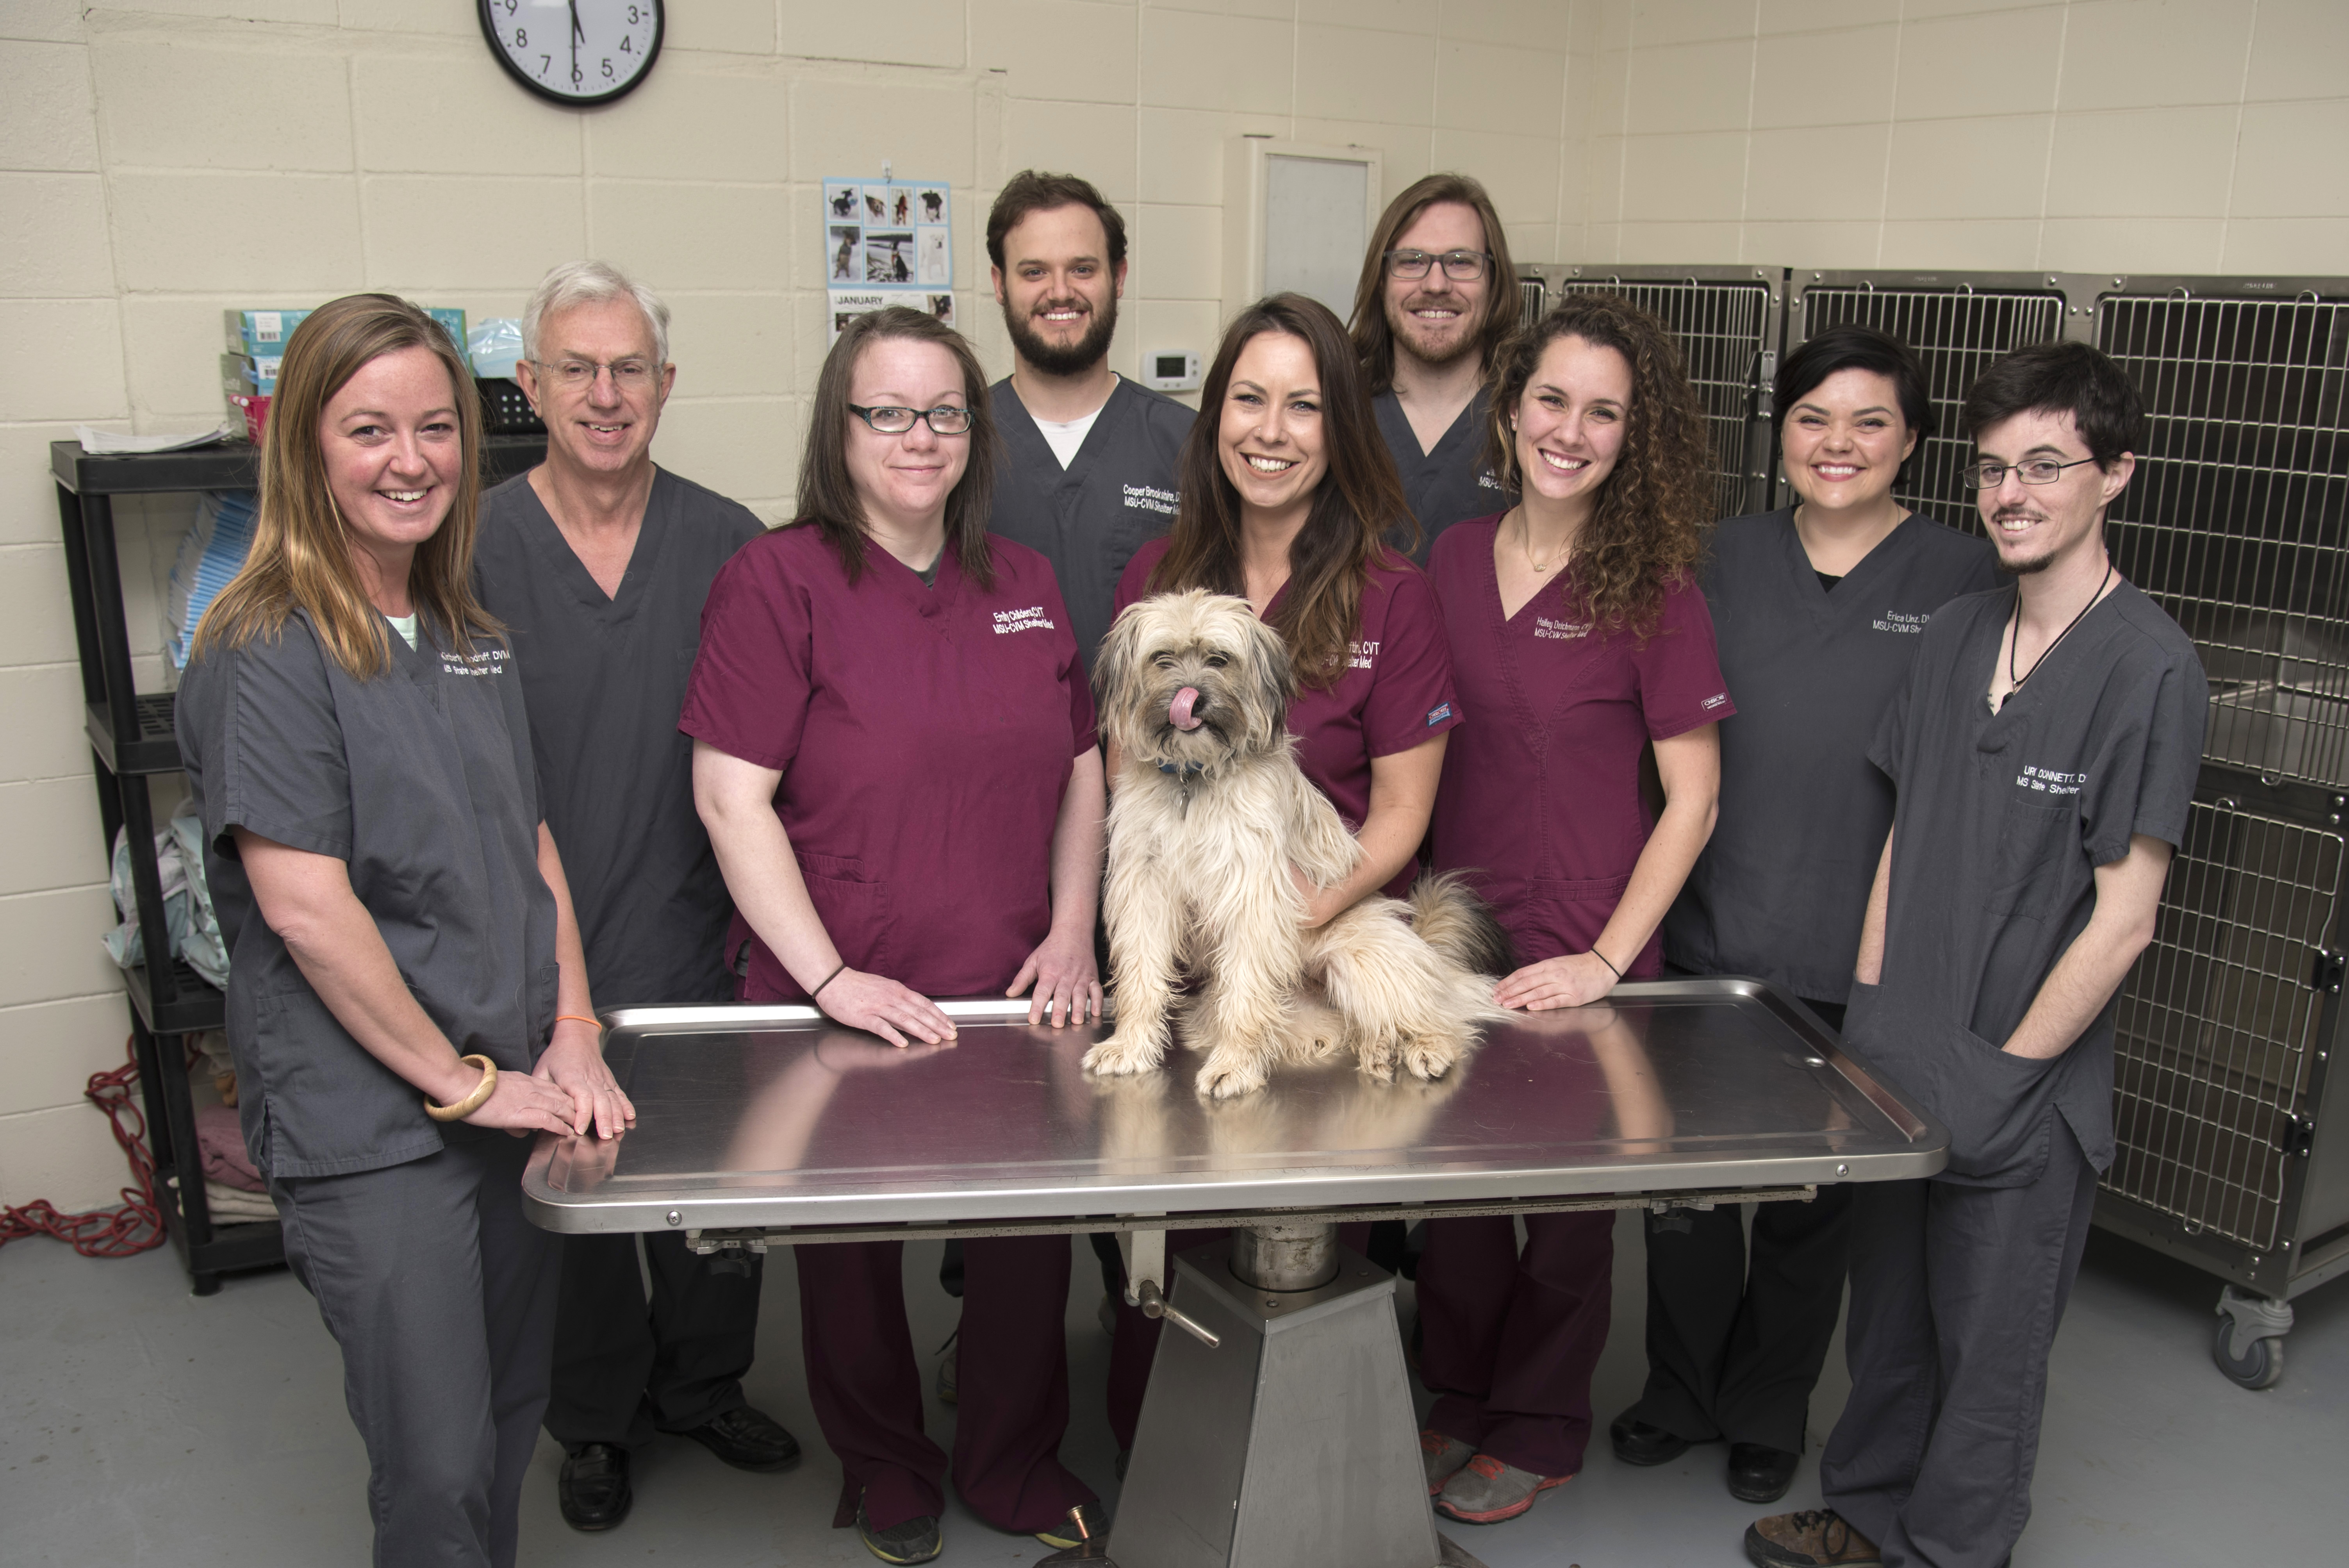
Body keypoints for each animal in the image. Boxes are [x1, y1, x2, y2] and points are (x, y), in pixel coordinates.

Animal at [1076, 592, 1503, 1105]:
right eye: (1162, 658)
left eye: (1220, 659)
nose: (1193, 698)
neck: (1192, 780)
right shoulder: (1144, 888)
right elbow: (1141, 974)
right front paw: (1131, 1045)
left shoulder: (1251, 895)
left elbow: (1245, 991)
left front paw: (1235, 1065)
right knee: (1355, 1028)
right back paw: (1378, 1050)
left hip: (1362, 960)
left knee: (1439, 1017)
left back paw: (1427, 1046)